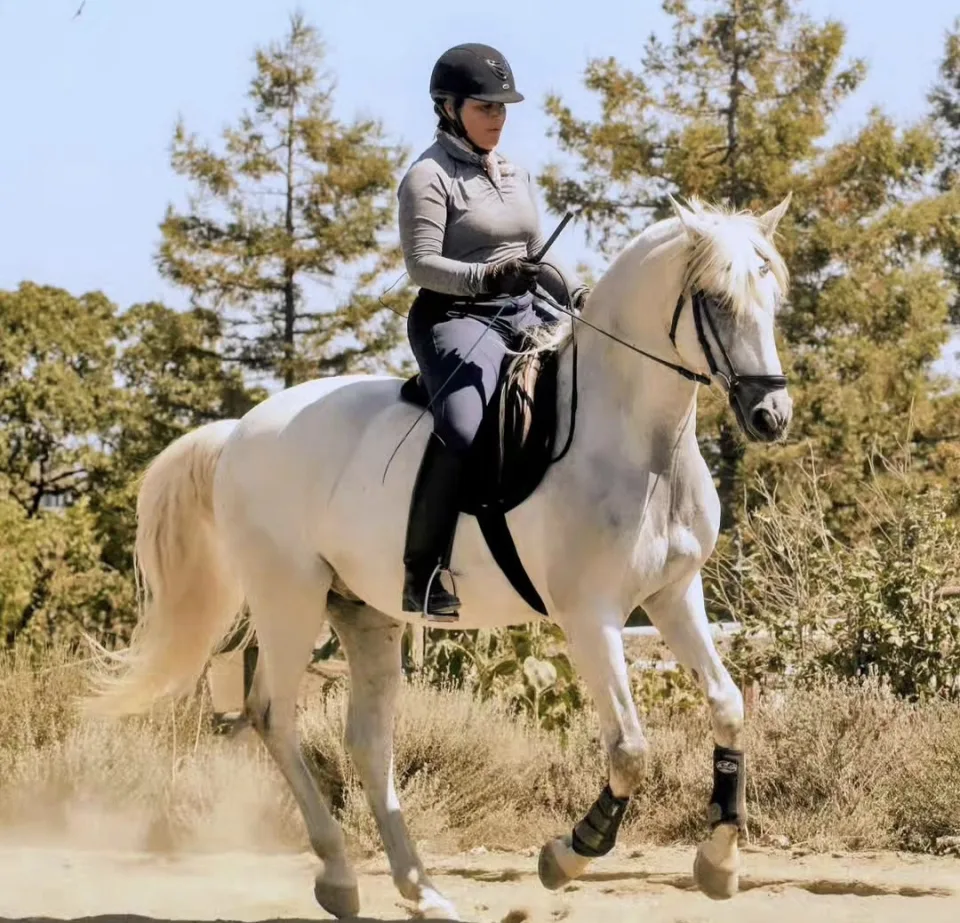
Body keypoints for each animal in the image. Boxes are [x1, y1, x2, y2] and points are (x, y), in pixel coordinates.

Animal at [83, 194, 794, 921]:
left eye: (773, 296)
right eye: (715, 299)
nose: (770, 415)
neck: (633, 442)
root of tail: (238, 433)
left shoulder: (674, 594)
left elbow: (729, 705)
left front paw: (719, 861)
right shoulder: (590, 616)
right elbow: (629, 749)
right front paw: (568, 853)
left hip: (364, 613)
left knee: (368, 742)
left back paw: (420, 889)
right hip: (289, 598)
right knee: (275, 717)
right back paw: (340, 877)